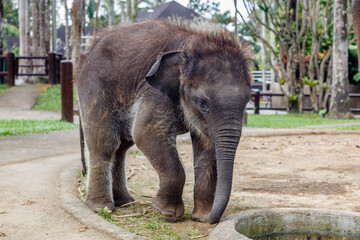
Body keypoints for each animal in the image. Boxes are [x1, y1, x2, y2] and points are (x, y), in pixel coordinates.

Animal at [76, 19, 250, 224]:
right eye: (203, 103)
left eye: (247, 100)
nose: (212, 219)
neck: (193, 42)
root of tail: (86, 54)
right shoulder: (154, 92)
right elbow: (145, 133)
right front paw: (167, 212)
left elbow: (207, 146)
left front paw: (201, 216)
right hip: (95, 87)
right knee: (105, 144)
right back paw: (101, 207)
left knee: (122, 147)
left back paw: (124, 202)